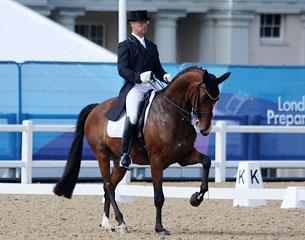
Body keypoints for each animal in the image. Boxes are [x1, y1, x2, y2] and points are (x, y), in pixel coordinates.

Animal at [52, 66, 228, 235]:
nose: (205, 129)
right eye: (204, 96)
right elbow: (159, 196)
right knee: (108, 185)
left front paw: (196, 198)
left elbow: (206, 161)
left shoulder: (184, 156)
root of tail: (96, 108)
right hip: (102, 155)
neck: (171, 113)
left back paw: (108, 224)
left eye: (217, 99)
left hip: (118, 161)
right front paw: (160, 228)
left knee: (110, 186)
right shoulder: (156, 161)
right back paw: (121, 223)